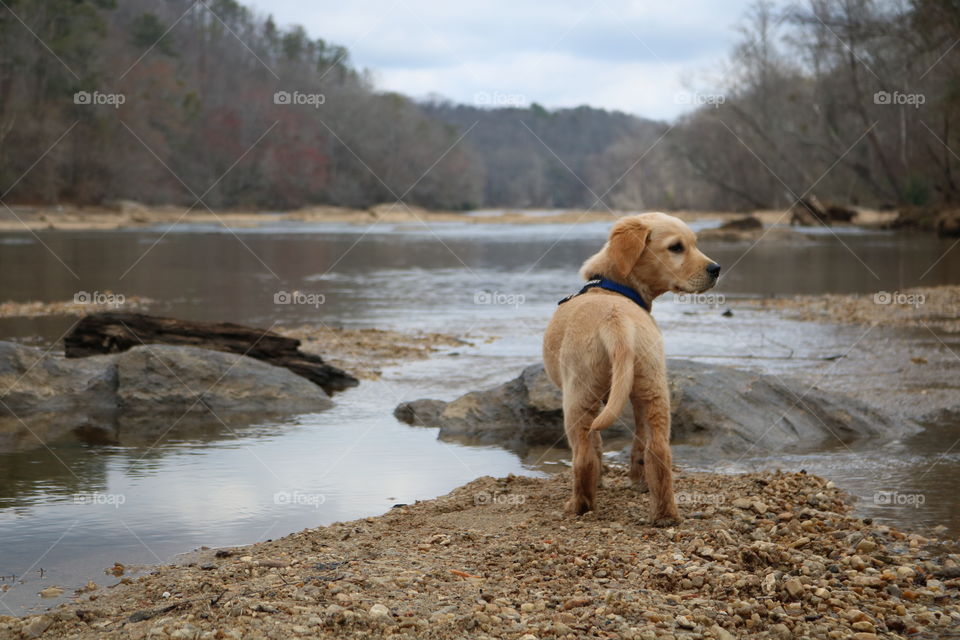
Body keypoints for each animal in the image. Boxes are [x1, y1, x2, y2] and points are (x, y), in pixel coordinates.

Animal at [544, 212, 716, 524]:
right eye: (677, 247)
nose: (716, 269)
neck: (614, 290)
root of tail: (617, 321)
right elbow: (637, 442)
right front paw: (637, 481)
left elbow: (598, 445)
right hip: (653, 386)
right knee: (658, 451)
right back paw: (664, 515)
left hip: (578, 395)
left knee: (584, 455)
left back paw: (579, 506)